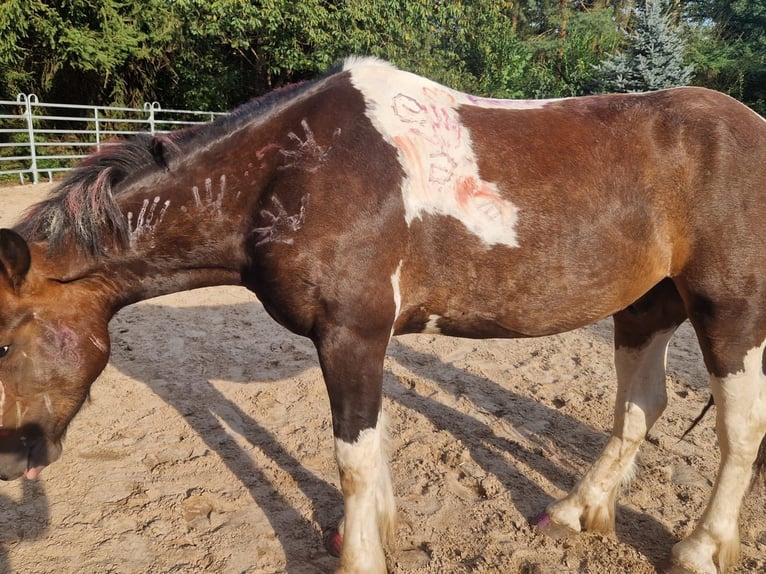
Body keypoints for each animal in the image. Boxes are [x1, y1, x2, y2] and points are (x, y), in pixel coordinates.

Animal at [0, 56, 764, 574]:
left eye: (5, 344)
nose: (12, 460)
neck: (289, 172)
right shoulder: (362, 339)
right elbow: (370, 451)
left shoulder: (351, 334)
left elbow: (354, 458)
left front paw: (360, 555)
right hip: (646, 306)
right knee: (640, 408)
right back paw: (577, 511)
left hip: (729, 310)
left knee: (739, 427)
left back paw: (699, 547)